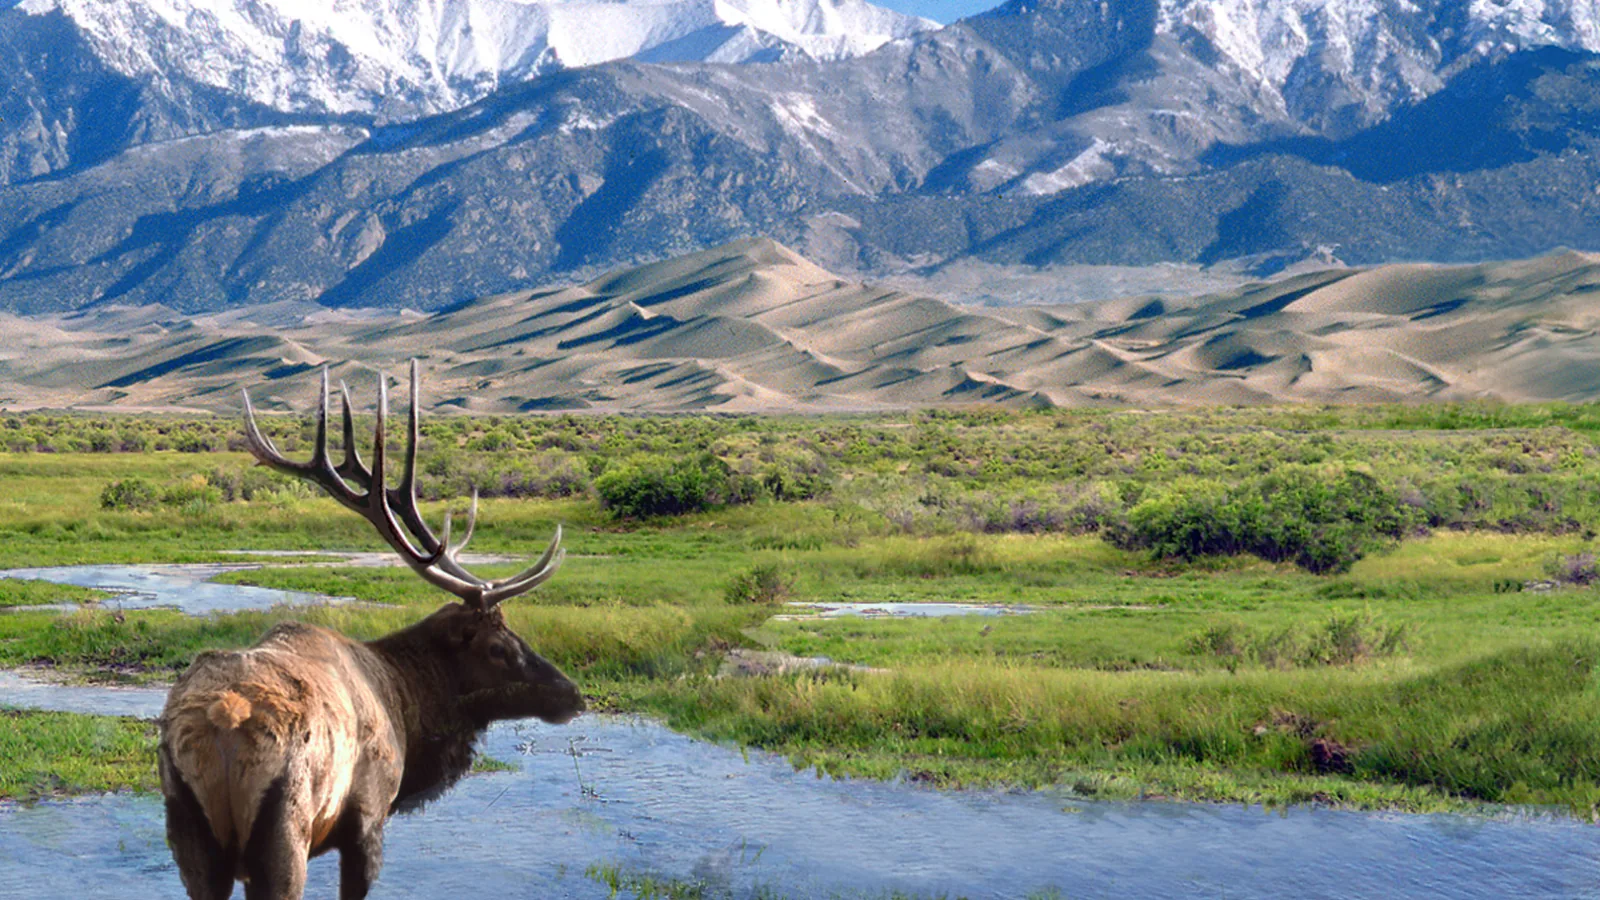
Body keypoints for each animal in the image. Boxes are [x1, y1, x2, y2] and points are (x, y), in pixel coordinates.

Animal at [157, 361, 585, 900]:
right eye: (497, 647)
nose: (573, 695)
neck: (407, 707)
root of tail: (222, 722)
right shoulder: (368, 815)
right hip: (283, 829)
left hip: (188, 829)